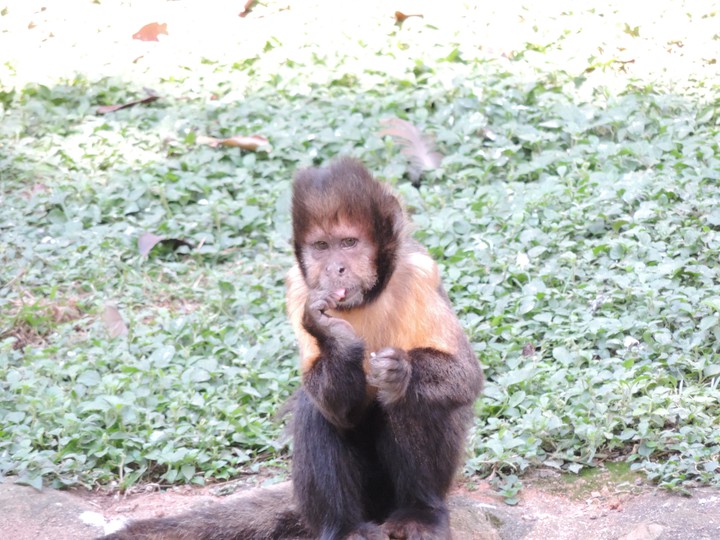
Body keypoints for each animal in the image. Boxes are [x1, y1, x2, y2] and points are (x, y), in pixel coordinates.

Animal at [100, 158, 483, 540]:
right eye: (322, 247)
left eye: (349, 242)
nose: (335, 268)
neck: (366, 298)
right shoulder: (299, 289)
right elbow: (336, 407)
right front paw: (334, 338)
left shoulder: (419, 272)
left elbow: (465, 378)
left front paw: (400, 369)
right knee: (317, 410)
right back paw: (344, 526)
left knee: (407, 400)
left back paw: (419, 509)